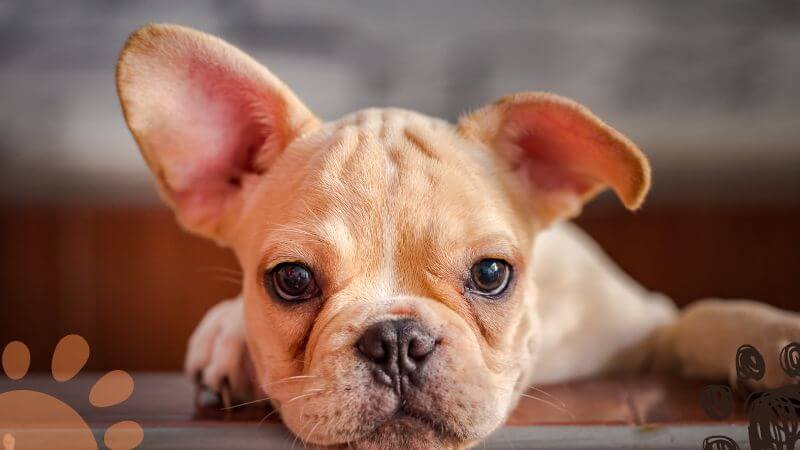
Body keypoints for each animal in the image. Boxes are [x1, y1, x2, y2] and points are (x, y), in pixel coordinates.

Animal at [115, 23, 796, 450]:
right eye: (292, 280)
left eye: (492, 273)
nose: (396, 340)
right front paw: (232, 332)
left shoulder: (646, 327)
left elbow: (707, 315)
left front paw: (777, 338)